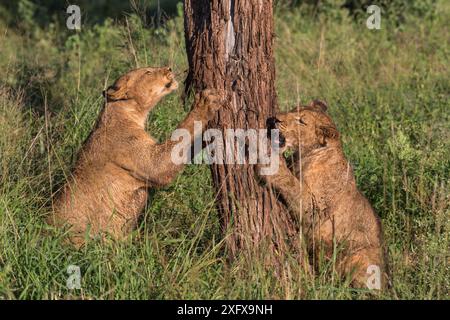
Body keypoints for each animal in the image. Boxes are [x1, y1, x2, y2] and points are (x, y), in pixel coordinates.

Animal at [50, 67, 222, 245]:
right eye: (148, 72)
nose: (169, 68)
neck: (128, 113)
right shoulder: (150, 162)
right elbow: (180, 138)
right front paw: (204, 103)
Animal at [262, 101, 384, 288]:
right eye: (293, 110)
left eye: (301, 121)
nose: (275, 118)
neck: (304, 156)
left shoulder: (315, 207)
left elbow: (292, 185)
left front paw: (271, 164)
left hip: (360, 257)